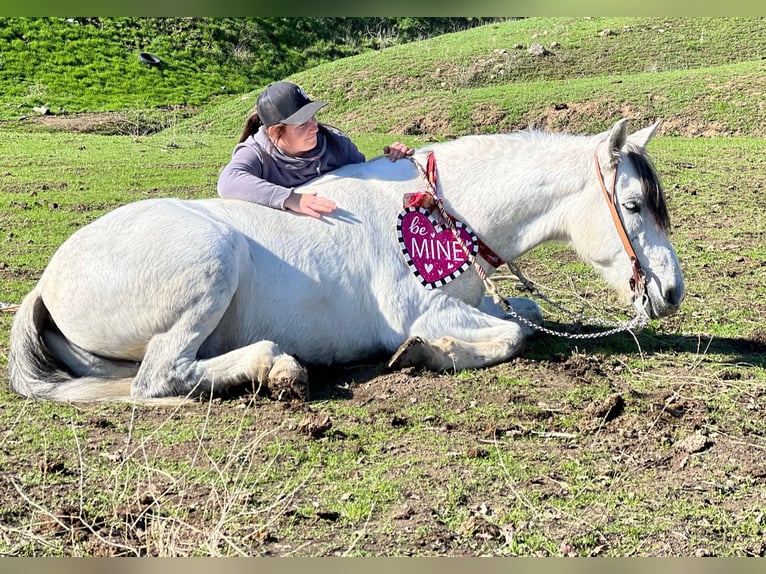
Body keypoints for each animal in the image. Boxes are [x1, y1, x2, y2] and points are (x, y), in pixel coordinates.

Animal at [6, 119, 688, 402]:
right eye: (632, 204)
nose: (671, 294)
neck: (442, 212)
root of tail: (47, 282)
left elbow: (527, 313)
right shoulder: (429, 311)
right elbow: (514, 334)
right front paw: (424, 353)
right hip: (210, 265)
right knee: (158, 379)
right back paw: (275, 368)